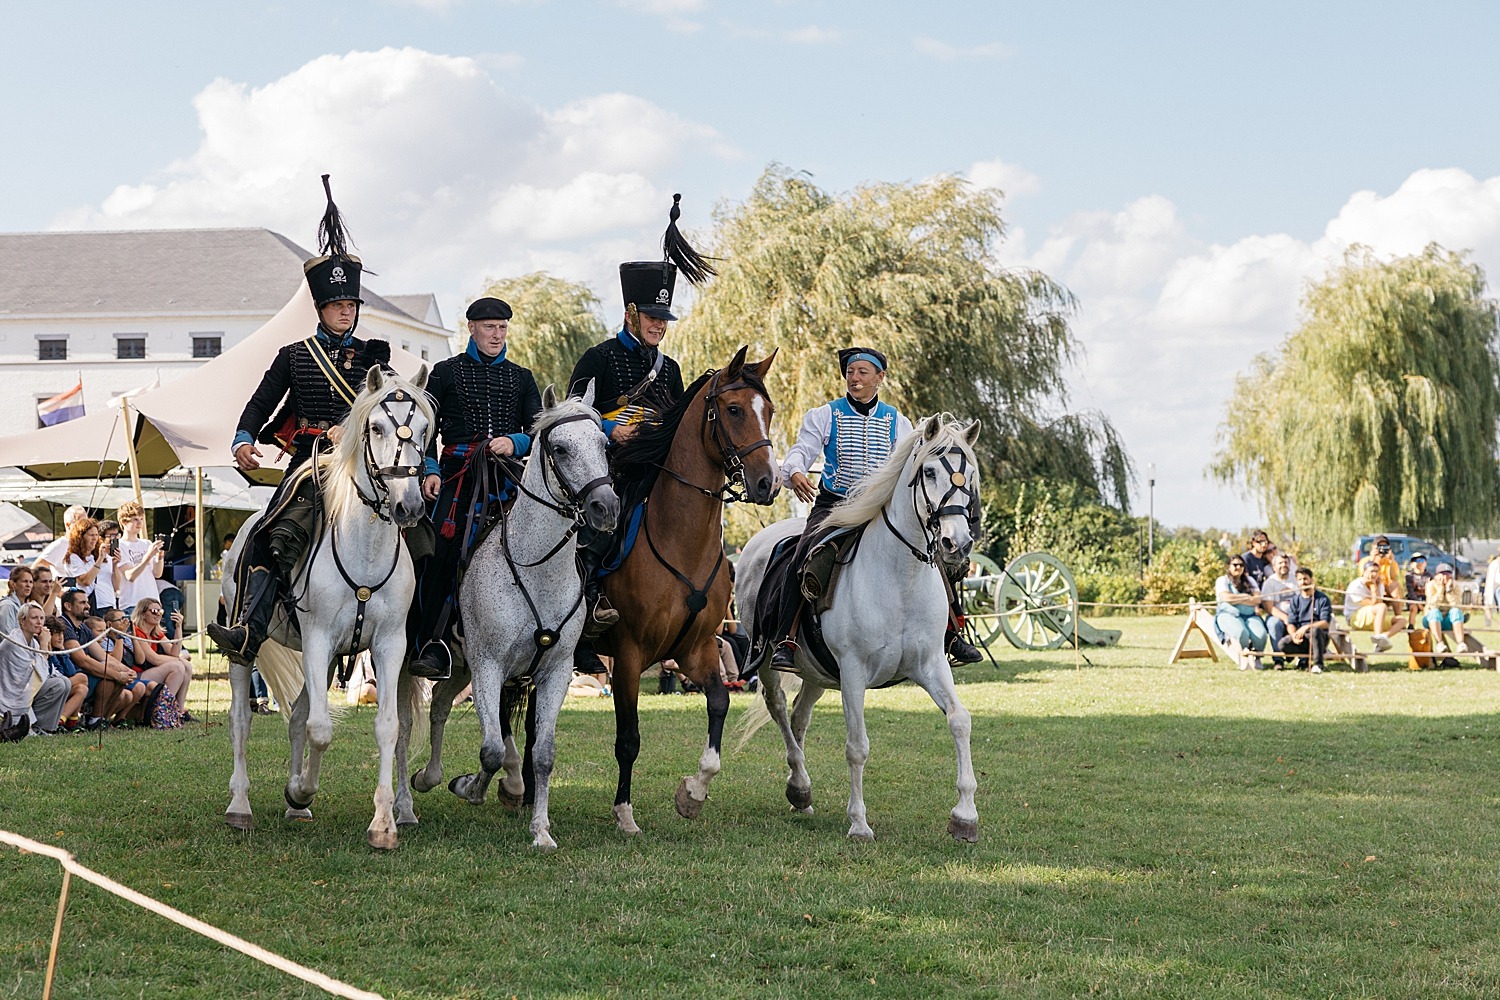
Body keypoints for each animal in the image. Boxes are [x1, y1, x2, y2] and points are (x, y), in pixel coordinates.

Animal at [223, 364, 435, 851]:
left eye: (424, 429)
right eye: (375, 427)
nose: (409, 505)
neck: (364, 547)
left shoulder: (389, 647)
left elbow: (386, 727)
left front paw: (383, 823)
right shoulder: (319, 639)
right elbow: (321, 729)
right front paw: (301, 789)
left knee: (299, 714)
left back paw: (295, 807)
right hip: (247, 649)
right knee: (242, 719)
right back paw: (241, 805)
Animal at [396, 383, 618, 851]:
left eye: (603, 444)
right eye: (560, 447)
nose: (605, 507)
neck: (536, 569)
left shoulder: (554, 672)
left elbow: (543, 755)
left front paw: (541, 831)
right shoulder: (489, 666)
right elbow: (493, 750)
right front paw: (470, 787)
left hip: (459, 666)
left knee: (439, 707)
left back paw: (428, 777)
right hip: (409, 661)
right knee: (403, 727)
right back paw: (404, 807)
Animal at [594, 347, 780, 833]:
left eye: (769, 411)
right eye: (733, 410)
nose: (768, 484)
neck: (680, 539)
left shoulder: (697, 648)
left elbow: (719, 703)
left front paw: (692, 794)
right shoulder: (629, 653)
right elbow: (628, 738)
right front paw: (625, 813)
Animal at [735, 413, 984, 845]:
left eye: (968, 474)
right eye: (930, 471)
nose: (958, 543)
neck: (899, 577)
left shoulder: (931, 665)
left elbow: (959, 720)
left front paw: (965, 817)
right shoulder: (853, 671)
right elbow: (857, 746)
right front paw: (859, 823)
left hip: (816, 672)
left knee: (799, 718)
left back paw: (800, 793)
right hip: (766, 660)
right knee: (779, 707)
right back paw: (800, 785)